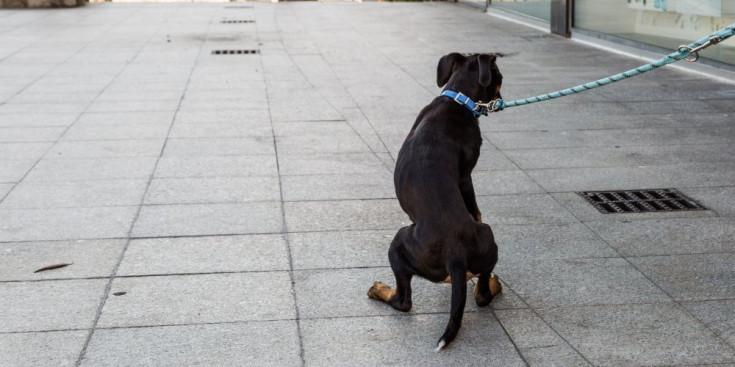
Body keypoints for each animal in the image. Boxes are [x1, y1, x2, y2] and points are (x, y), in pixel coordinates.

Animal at [368, 51, 506, 350]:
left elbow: (474, 207)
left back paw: (379, 290)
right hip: (487, 237)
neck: (457, 99)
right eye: (500, 76)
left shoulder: (465, 177)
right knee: (482, 294)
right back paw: (490, 284)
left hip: (398, 241)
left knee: (403, 301)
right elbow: (475, 210)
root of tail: (456, 254)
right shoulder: (466, 177)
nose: (500, 100)